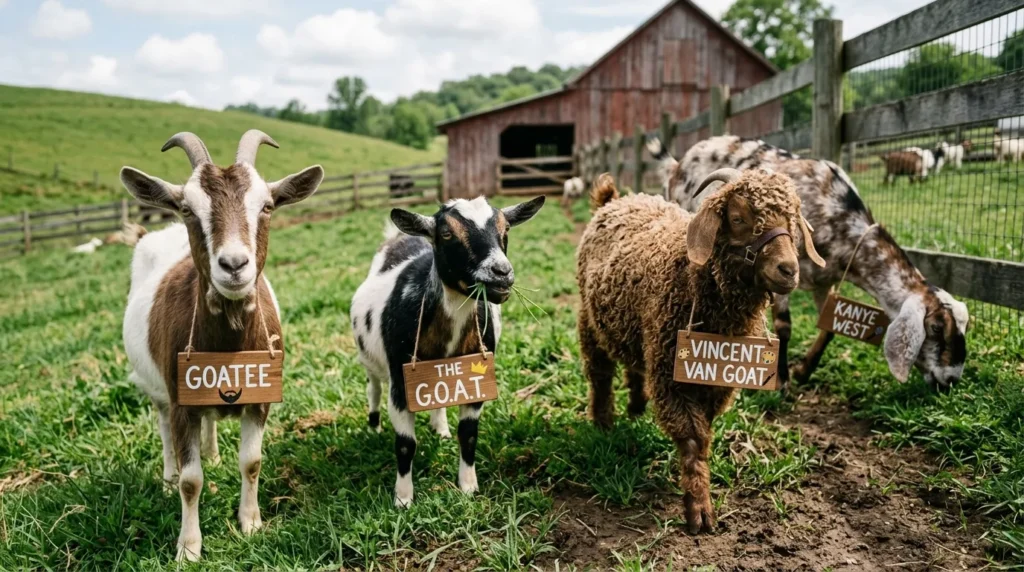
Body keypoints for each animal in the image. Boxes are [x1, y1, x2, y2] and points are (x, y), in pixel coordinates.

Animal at [121, 130, 323, 561]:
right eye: (186, 209)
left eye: (267, 206)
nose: (233, 265)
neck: (230, 347)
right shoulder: (181, 400)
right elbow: (192, 480)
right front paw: (188, 547)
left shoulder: (260, 397)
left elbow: (251, 461)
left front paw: (250, 523)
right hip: (158, 389)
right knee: (163, 427)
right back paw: (167, 478)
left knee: (209, 420)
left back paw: (212, 452)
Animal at [351, 195, 545, 507]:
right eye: (446, 233)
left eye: (506, 229)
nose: (501, 273)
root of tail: (400, 238)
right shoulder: (401, 383)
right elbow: (405, 444)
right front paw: (403, 499)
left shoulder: (472, 381)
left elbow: (468, 435)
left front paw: (468, 487)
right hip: (372, 363)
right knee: (374, 390)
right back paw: (373, 430)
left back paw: (440, 429)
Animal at [577, 169, 823, 534]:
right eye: (738, 218)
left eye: (792, 219)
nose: (788, 270)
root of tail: (615, 199)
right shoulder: (672, 373)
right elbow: (692, 437)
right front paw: (699, 511)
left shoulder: (716, 380)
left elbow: (704, 435)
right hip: (590, 321)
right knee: (600, 373)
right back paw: (603, 423)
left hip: (633, 325)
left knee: (634, 364)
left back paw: (636, 406)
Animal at [650, 135, 969, 390]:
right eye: (936, 327)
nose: (951, 379)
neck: (837, 213)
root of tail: (677, 164)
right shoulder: (779, 271)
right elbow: (784, 326)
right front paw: (781, 381)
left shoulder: (823, 280)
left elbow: (828, 328)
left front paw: (803, 371)